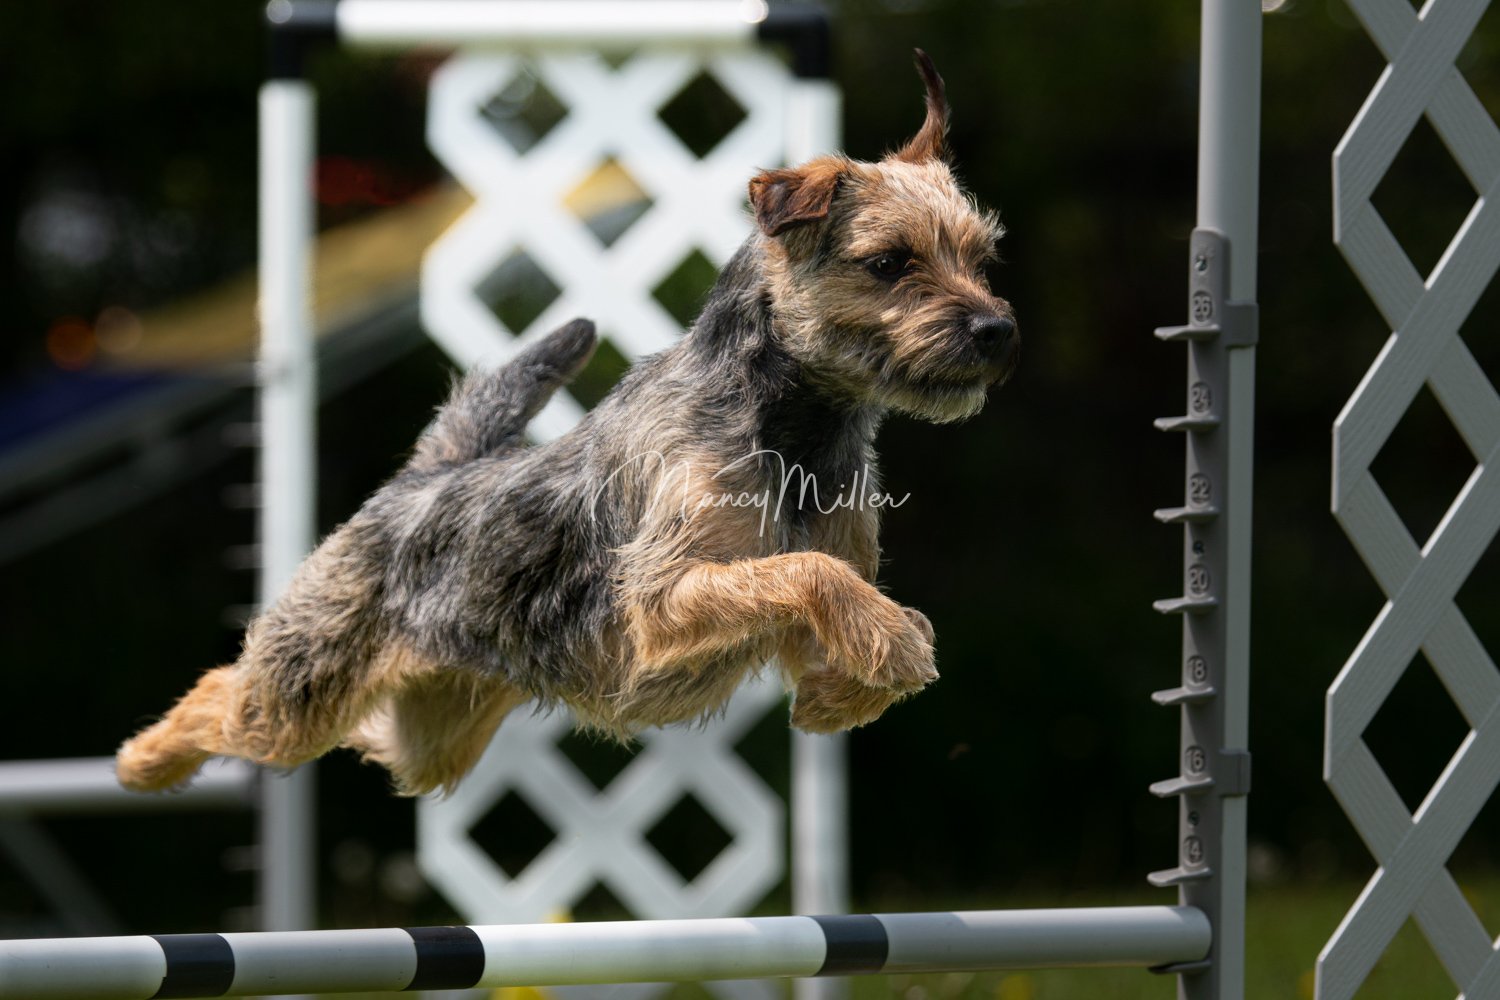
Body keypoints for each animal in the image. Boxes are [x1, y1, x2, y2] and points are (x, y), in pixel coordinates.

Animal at [116, 50, 1017, 797]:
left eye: (982, 259)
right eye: (890, 262)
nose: (998, 329)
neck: (798, 426)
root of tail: (427, 474)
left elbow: (846, 600)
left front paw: (846, 690)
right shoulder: (663, 598)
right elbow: (807, 573)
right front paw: (888, 649)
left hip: (432, 734)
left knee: (364, 734)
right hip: (302, 691)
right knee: (225, 696)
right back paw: (140, 763)